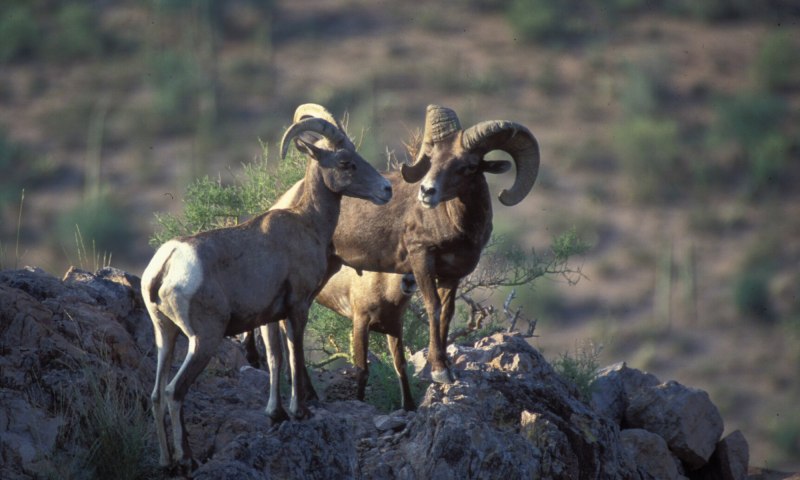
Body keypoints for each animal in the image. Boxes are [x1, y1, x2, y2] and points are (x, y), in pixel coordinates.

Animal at [140, 116, 392, 472]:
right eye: (345, 162)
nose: (386, 189)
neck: (308, 224)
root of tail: (167, 264)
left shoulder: (269, 317)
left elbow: (275, 359)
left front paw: (277, 414)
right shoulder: (298, 307)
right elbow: (295, 356)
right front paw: (301, 411)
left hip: (166, 335)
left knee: (156, 393)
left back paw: (166, 462)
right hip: (203, 340)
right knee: (175, 391)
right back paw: (187, 459)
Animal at [287, 104, 540, 385]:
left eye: (469, 166)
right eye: (433, 158)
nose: (427, 192)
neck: (459, 226)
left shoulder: (453, 275)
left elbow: (447, 313)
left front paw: (448, 366)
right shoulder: (422, 260)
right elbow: (433, 307)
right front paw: (439, 370)